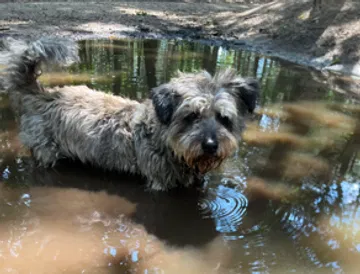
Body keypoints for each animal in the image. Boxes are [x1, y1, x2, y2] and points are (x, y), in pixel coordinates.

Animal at [0, 37, 258, 191]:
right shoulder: (159, 184)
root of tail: (41, 95)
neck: (163, 138)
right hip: (46, 153)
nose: (211, 145)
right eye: (191, 116)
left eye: (224, 118)